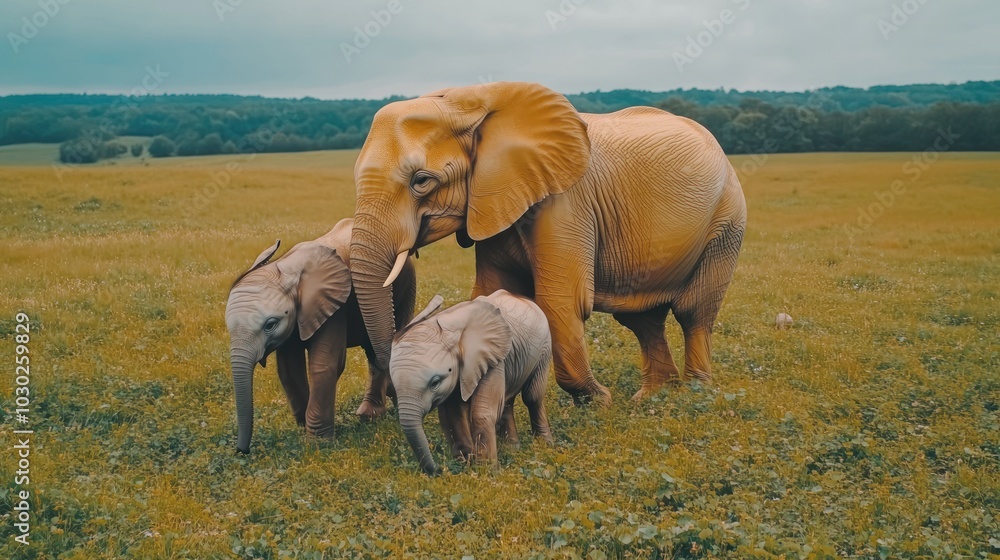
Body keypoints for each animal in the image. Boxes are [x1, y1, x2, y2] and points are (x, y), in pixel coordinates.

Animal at [225, 218, 416, 453]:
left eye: (270, 325)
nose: (242, 450)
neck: (285, 268)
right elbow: (288, 368)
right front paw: (303, 425)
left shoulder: (335, 305)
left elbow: (325, 365)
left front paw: (317, 443)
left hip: (405, 287)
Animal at [349, 81, 746, 406]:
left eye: (421, 181)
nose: (391, 395)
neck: (472, 99)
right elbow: (492, 291)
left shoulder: (566, 203)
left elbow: (560, 301)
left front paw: (599, 402)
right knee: (642, 320)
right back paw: (653, 395)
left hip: (726, 219)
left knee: (693, 311)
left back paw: (695, 392)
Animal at [390, 290, 553, 475]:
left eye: (435, 383)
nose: (439, 470)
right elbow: (452, 413)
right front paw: (465, 464)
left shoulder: (492, 360)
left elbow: (481, 412)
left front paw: (486, 472)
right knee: (507, 401)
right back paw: (512, 448)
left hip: (545, 347)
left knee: (532, 397)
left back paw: (544, 445)